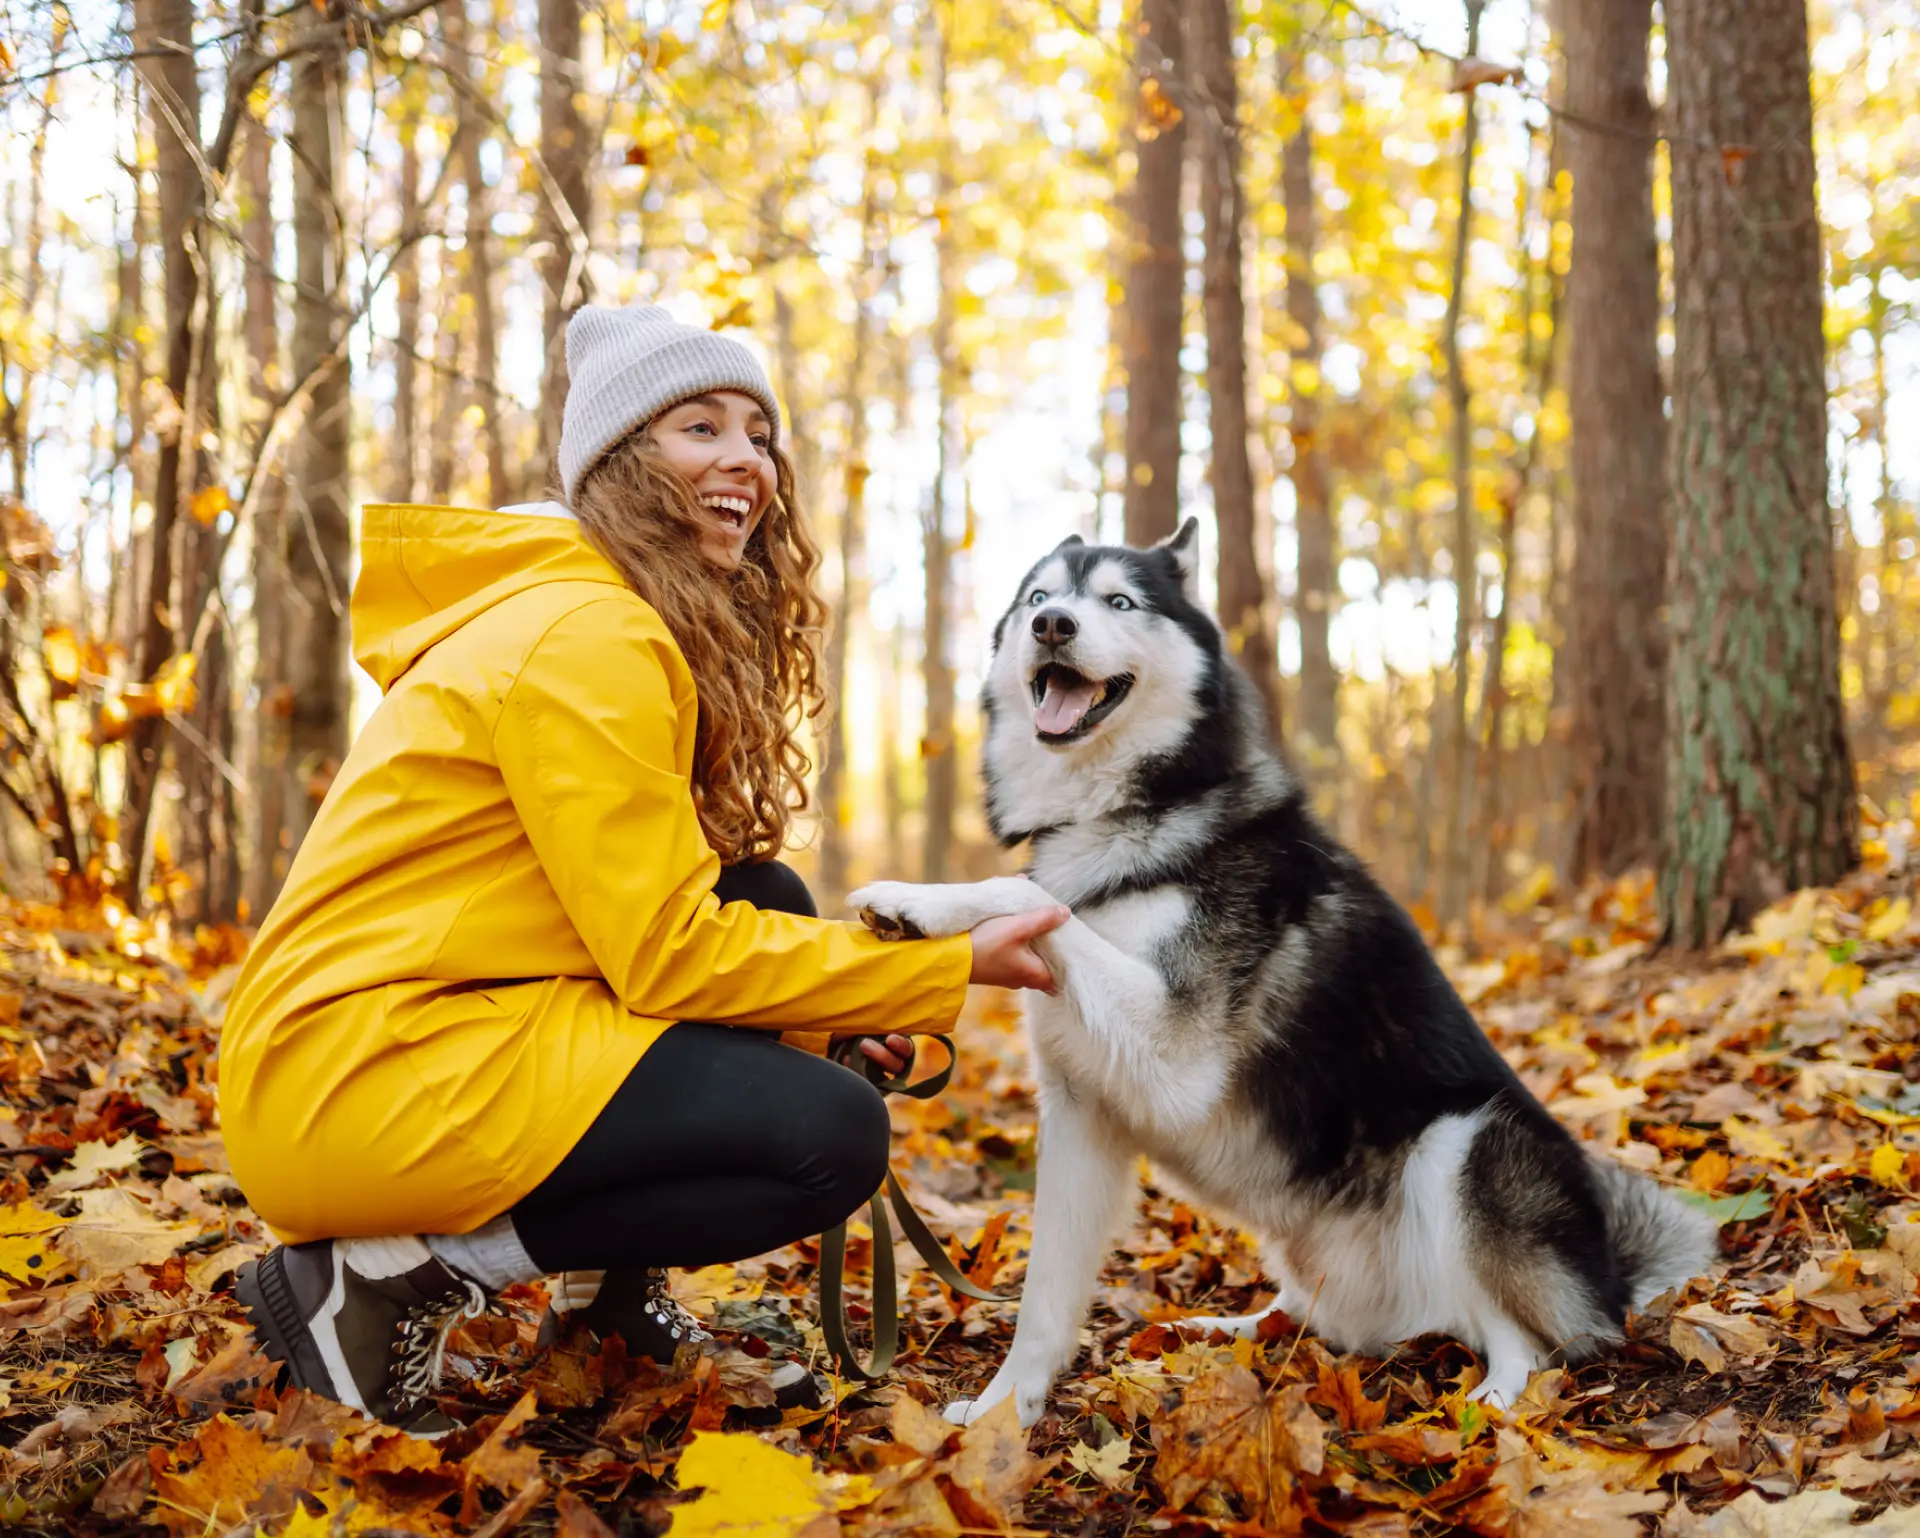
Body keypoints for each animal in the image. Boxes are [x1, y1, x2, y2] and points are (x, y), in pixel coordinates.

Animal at [848, 522, 1720, 1420]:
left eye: (1119, 601)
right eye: (1038, 597)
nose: (1052, 625)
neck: (1129, 812)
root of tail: (1612, 1275)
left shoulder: (1176, 1053)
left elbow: (1030, 896)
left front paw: (916, 902)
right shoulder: (1080, 1106)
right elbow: (1044, 1297)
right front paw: (1004, 1410)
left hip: (1463, 1145)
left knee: (1531, 1339)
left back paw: (1490, 1406)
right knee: (1316, 1312)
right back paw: (1216, 1328)